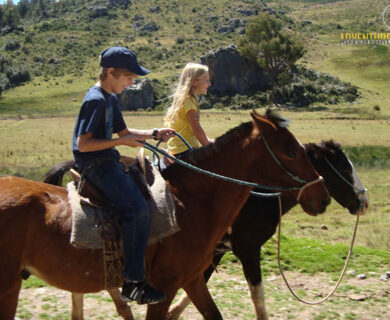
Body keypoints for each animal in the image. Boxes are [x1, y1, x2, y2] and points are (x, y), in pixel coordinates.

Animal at [0, 110, 330, 320]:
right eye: (291, 152)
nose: (322, 196)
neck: (190, 203)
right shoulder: (166, 286)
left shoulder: (193, 280)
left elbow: (214, 314)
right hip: (8, 286)